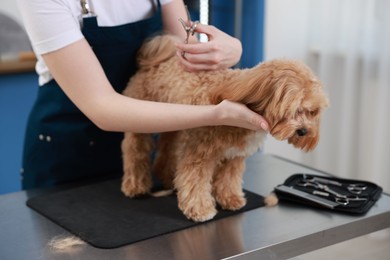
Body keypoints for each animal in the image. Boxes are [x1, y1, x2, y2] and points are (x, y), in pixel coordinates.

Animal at [122, 34, 330, 221]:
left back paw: (166, 176)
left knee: (167, 148)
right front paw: (200, 210)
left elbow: (229, 179)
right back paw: (135, 185)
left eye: (312, 111)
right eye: (293, 109)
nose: (303, 131)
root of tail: (156, 59)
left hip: (173, 125)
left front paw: (231, 199)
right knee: (135, 150)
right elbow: (195, 181)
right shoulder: (200, 154)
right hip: (142, 119)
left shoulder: (234, 155)